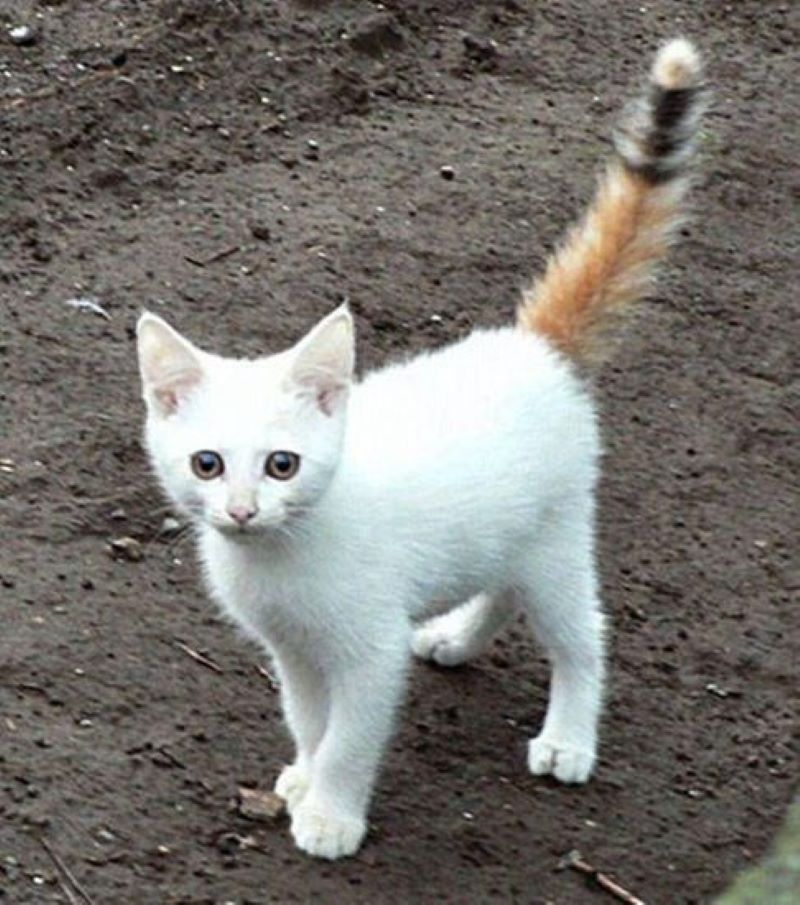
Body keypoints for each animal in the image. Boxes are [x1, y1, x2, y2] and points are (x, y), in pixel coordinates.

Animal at [138, 38, 708, 860]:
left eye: (283, 464)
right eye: (206, 464)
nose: (242, 511)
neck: (280, 558)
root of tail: (532, 346)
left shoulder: (368, 648)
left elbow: (350, 738)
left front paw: (331, 813)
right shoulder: (293, 650)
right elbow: (308, 718)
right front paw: (304, 774)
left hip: (558, 535)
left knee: (582, 632)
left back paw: (569, 737)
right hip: (505, 532)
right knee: (499, 584)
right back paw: (457, 639)